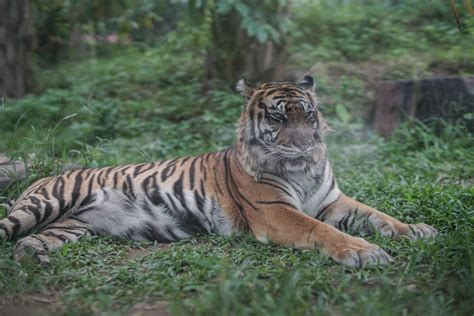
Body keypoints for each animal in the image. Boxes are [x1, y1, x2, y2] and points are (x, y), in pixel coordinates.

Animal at [0, 76, 436, 266]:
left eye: (308, 114)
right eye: (278, 118)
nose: (303, 145)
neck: (302, 170)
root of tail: (42, 176)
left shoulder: (332, 202)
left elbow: (378, 215)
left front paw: (416, 230)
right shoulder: (274, 212)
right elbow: (321, 231)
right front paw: (364, 253)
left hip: (68, 228)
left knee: (31, 241)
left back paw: (33, 258)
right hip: (44, 205)